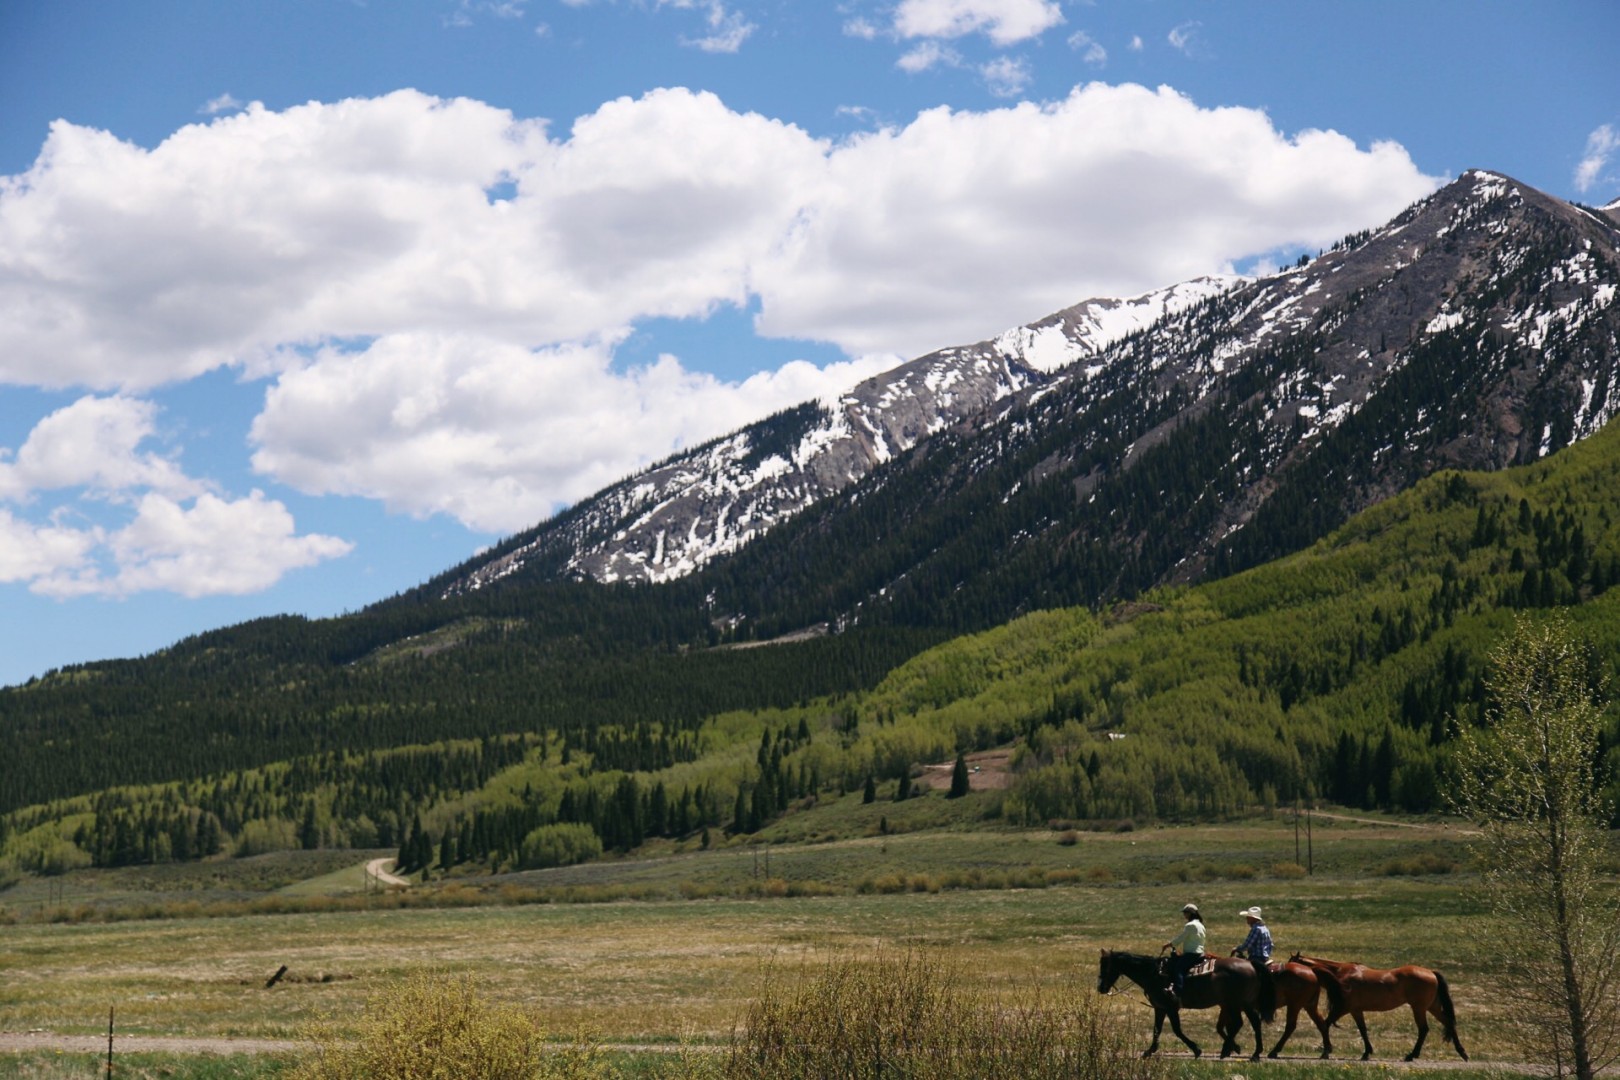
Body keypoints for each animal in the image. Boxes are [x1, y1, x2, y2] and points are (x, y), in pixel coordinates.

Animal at [1101, 952, 1276, 1062]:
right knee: (1249, 1023)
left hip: (1238, 1004)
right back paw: (1246, 1052)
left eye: (1106, 967)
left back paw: (1239, 1051)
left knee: (1245, 1023)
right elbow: (1157, 1030)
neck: (1154, 974)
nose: (1101, 988)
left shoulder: (1171, 1008)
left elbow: (1177, 1030)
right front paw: (1149, 1051)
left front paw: (1196, 1050)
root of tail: (1250, 964)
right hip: (1239, 1004)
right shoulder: (1160, 1008)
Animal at [1289, 952, 1470, 1062]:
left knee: (1424, 1029)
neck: (1340, 974)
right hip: (1432, 1007)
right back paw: (1462, 1053)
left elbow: (1325, 1024)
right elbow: (1363, 1030)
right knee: (1448, 1022)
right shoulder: (1356, 1010)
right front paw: (1366, 1052)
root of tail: (1431, 973)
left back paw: (1412, 1055)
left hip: (1419, 1008)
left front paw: (1326, 1050)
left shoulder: (1343, 1009)